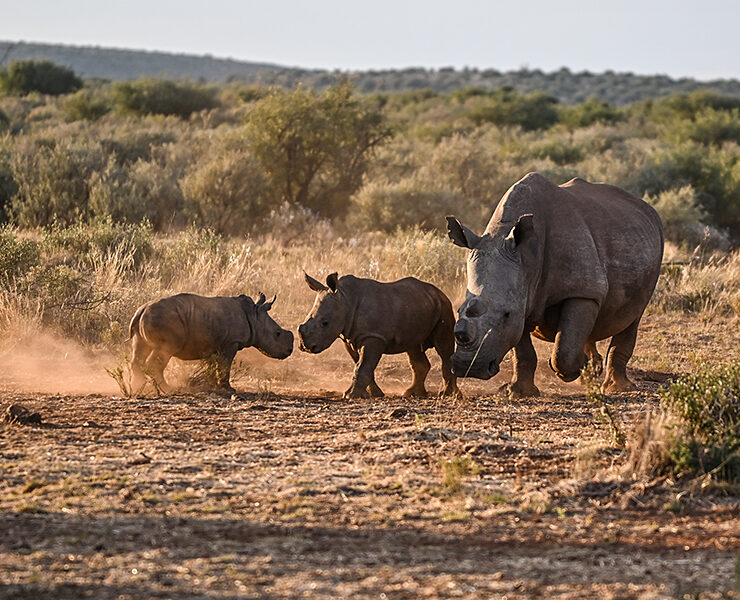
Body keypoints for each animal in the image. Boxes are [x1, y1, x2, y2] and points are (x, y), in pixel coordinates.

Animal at [129, 292, 293, 393]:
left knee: (139, 351)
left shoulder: (213, 344)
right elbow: (225, 365)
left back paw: (137, 388)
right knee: (164, 351)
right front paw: (228, 389)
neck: (254, 316)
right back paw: (169, 390)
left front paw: (211, 385)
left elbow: (213, 366)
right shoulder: (231, 343)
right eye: (277, 334)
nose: (289, 351)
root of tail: (142, 309)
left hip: (146, 320)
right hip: (165, 321)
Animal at [297, 273, 459, 398]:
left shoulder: (373, 337)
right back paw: (412, 394)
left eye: (325, 323)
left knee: (443, 347)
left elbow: (362, 365)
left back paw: (448, 395)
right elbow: (361, 364)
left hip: (444, 307)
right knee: (414, 347)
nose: (305, 346)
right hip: (418, 308)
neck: (345, 299)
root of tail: (439, 291)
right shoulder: (350, 338)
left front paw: (351, 396)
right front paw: (375, 394)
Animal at [447, 172, 663, 396]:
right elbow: (523, 351)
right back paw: (591, 372)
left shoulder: (581, 291)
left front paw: (574, 369)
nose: (470, 367)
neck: (526, 256)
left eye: (506, 314)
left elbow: (564, 352)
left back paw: (617, 388)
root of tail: (649, 210)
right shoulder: (522, 294)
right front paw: (519, 392)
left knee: (633, 318)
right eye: (458, 310)